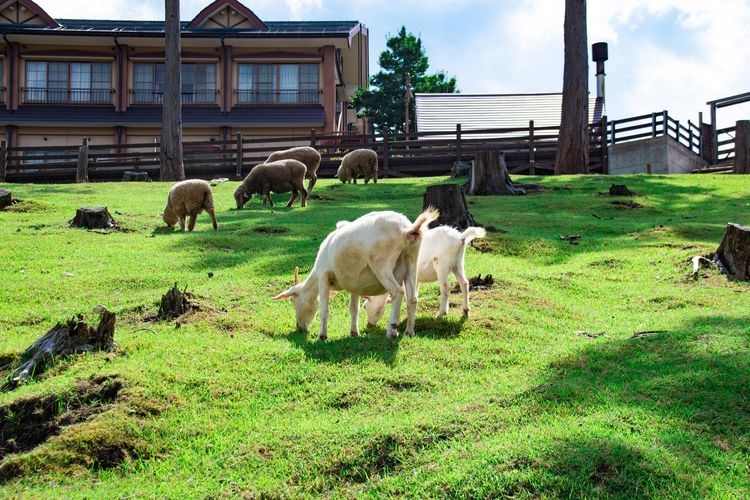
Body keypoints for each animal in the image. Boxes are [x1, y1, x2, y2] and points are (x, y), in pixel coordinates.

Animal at [274, 207, 440, 340]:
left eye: (293, 301)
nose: (299, 328)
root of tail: (407, 230)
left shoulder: (323, 276)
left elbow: (324, 308)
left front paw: (322, 336)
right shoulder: (355, 283)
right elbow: (354, 309)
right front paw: (354, 333)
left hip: (382, 264)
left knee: (397, 292)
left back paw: (392, 331)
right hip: (412, 260)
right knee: (413, 298)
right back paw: (409, 331)